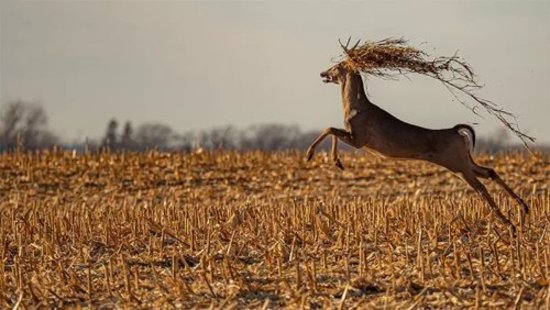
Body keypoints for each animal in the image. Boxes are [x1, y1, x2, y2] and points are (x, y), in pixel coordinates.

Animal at [308, 43, 532, 234]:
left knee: (481, 187)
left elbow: (329, 129)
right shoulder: (356, 138)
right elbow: (332, 130)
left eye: (338, 66)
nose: (322, 73)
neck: (355, 106)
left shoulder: (359, 138)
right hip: (461, 161)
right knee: (489, 172)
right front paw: (336, 162)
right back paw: (523, 207)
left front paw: (317, 156)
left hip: (457, 162)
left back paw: (510, 224)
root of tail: (456, 131)